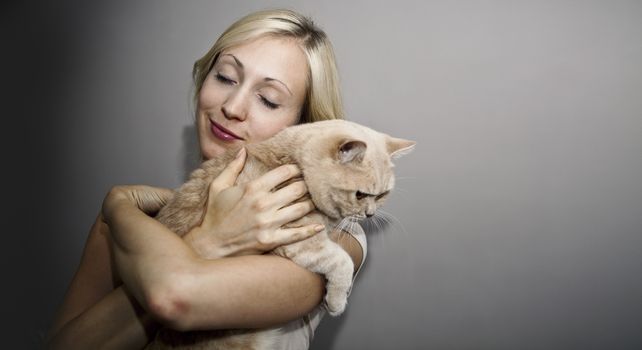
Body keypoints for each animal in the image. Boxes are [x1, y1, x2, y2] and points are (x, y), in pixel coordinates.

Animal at [145, 119, 412, 348]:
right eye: (360, 194)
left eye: (382, 195)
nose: (370, 214)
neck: (291, 162)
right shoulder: (301, 242)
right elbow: (342, 261)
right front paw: (336, 301)